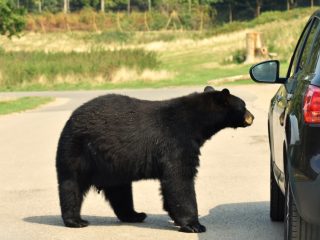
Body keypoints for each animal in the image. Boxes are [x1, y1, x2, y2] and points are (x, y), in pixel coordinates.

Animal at [56, 86, 254, 232]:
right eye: (243, 105)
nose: (252, 117)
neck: (195, 122)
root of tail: (71, 118)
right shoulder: (176, 142)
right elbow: (179, 179)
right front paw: (194, 225)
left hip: (114, 165)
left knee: (120, 191)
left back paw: (135, 215)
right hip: (77, 150)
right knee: (71, 184)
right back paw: (76, 220)